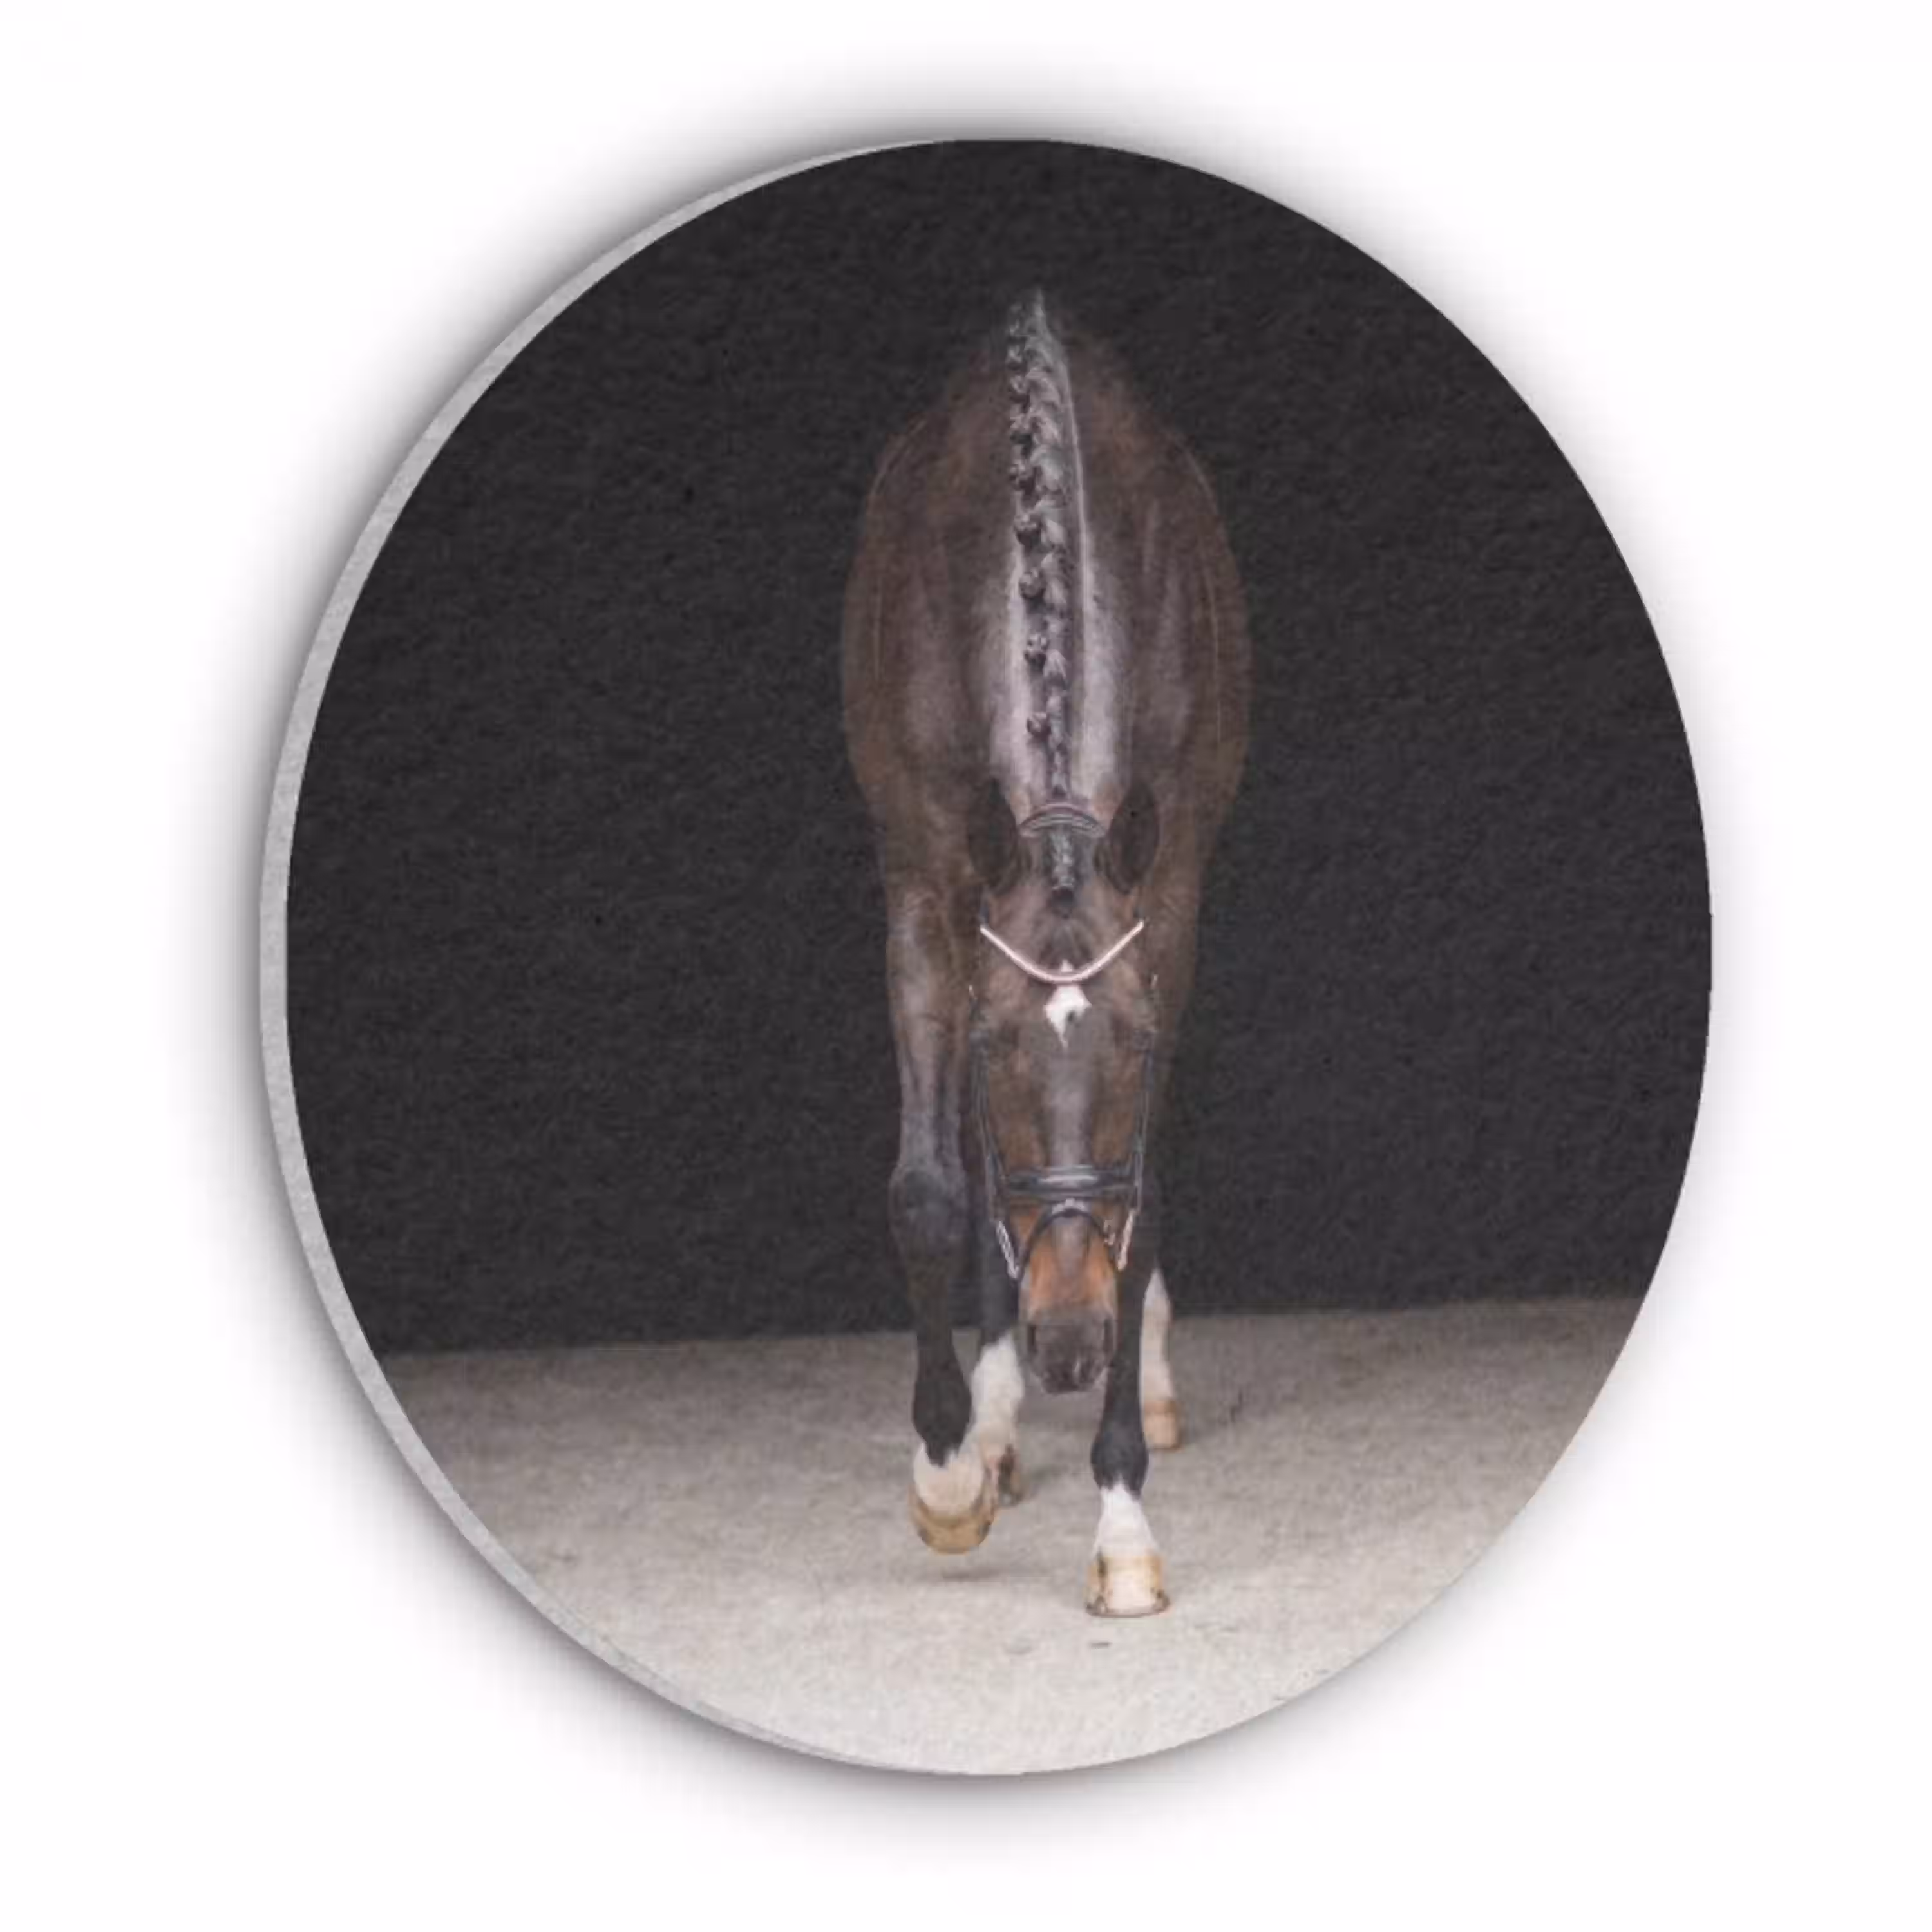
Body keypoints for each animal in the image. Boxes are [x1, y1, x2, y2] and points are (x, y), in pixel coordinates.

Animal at [841, 291, 1250, 1615]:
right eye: (994, 1046)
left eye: (1133, 1048)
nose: (1070, 1343)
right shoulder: (927, 891)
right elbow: (931, 1189)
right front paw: (951, 1472)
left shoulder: (1168, 901)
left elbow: (1143, 1200)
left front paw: (1122, 1522)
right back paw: (996, 1416)